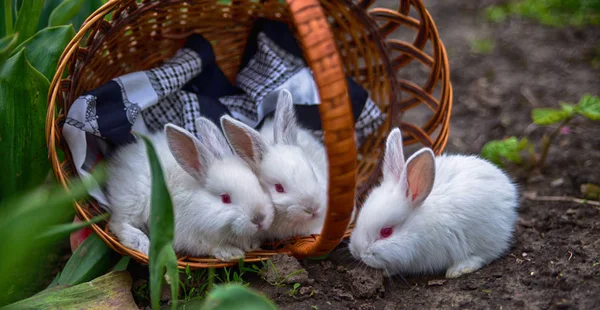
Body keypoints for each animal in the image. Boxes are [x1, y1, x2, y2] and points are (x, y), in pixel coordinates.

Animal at [105, 116, 274, 262]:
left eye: (258, 185)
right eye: (225, 198)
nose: (259, 218)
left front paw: (251, 245)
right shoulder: (189, 236)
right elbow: (210, 246)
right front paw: (231, 253)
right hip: (135, 200)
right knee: (118, 223)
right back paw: (143, 244)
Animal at [350, 127, 516, 278]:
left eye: (386, 232)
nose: (357, 252)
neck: (419, 227)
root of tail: (509, 188)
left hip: (486, 237)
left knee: (486, 254)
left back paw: (458, 269)